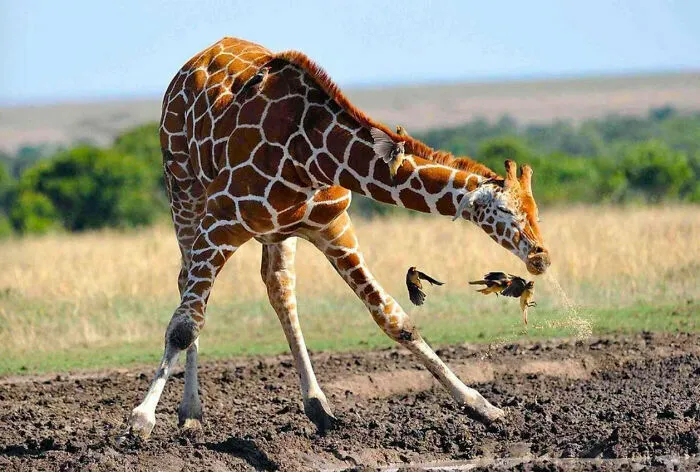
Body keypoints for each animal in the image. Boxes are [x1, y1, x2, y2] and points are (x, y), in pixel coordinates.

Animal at [127, 37, 551, 439]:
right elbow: (184, 325)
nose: (541, 258)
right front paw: (141, 420)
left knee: (279, 288)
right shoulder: (221, 221)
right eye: (505, 212)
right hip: (185, 194)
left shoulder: (333, 228)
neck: (312, 155)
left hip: (276, 234)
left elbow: (395, 319)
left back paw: (317, 405)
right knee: (187, 285)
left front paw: (484, 408)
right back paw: (191, 413)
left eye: (536, 211)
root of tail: (193, 62)